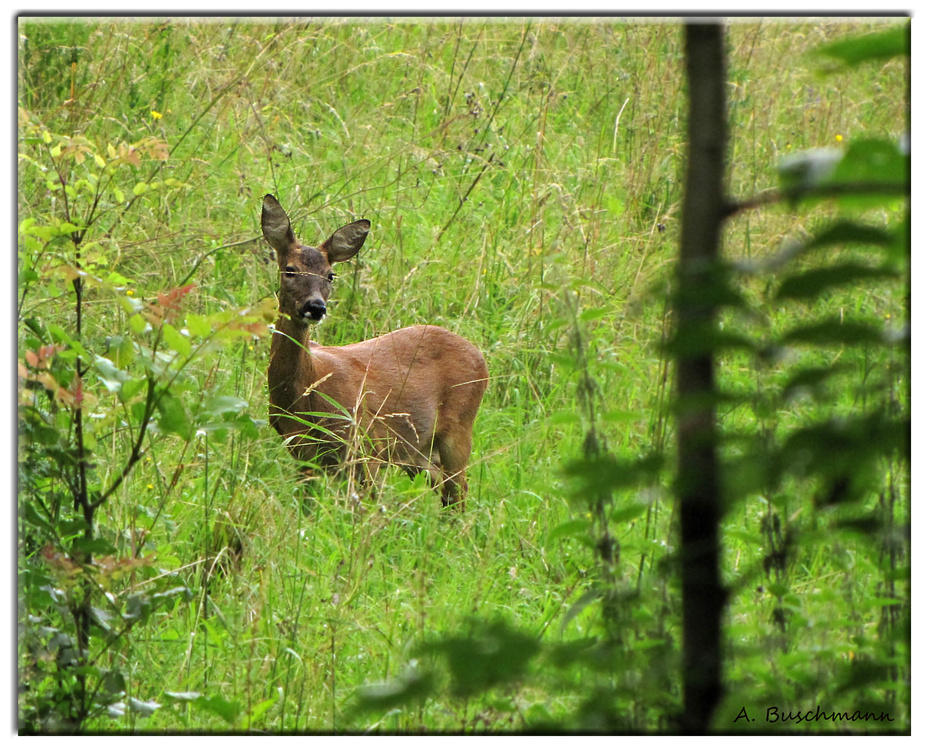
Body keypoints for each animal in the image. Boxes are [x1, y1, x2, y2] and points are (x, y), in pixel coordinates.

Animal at [260, 194, 488, 512]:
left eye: (330, 275)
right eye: (290, 270)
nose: (315, 307)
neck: (305, 393)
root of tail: (480, 356)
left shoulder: (367, 445)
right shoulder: (304, 454)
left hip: (458, 429)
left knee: (459, 494)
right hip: (418, 451)